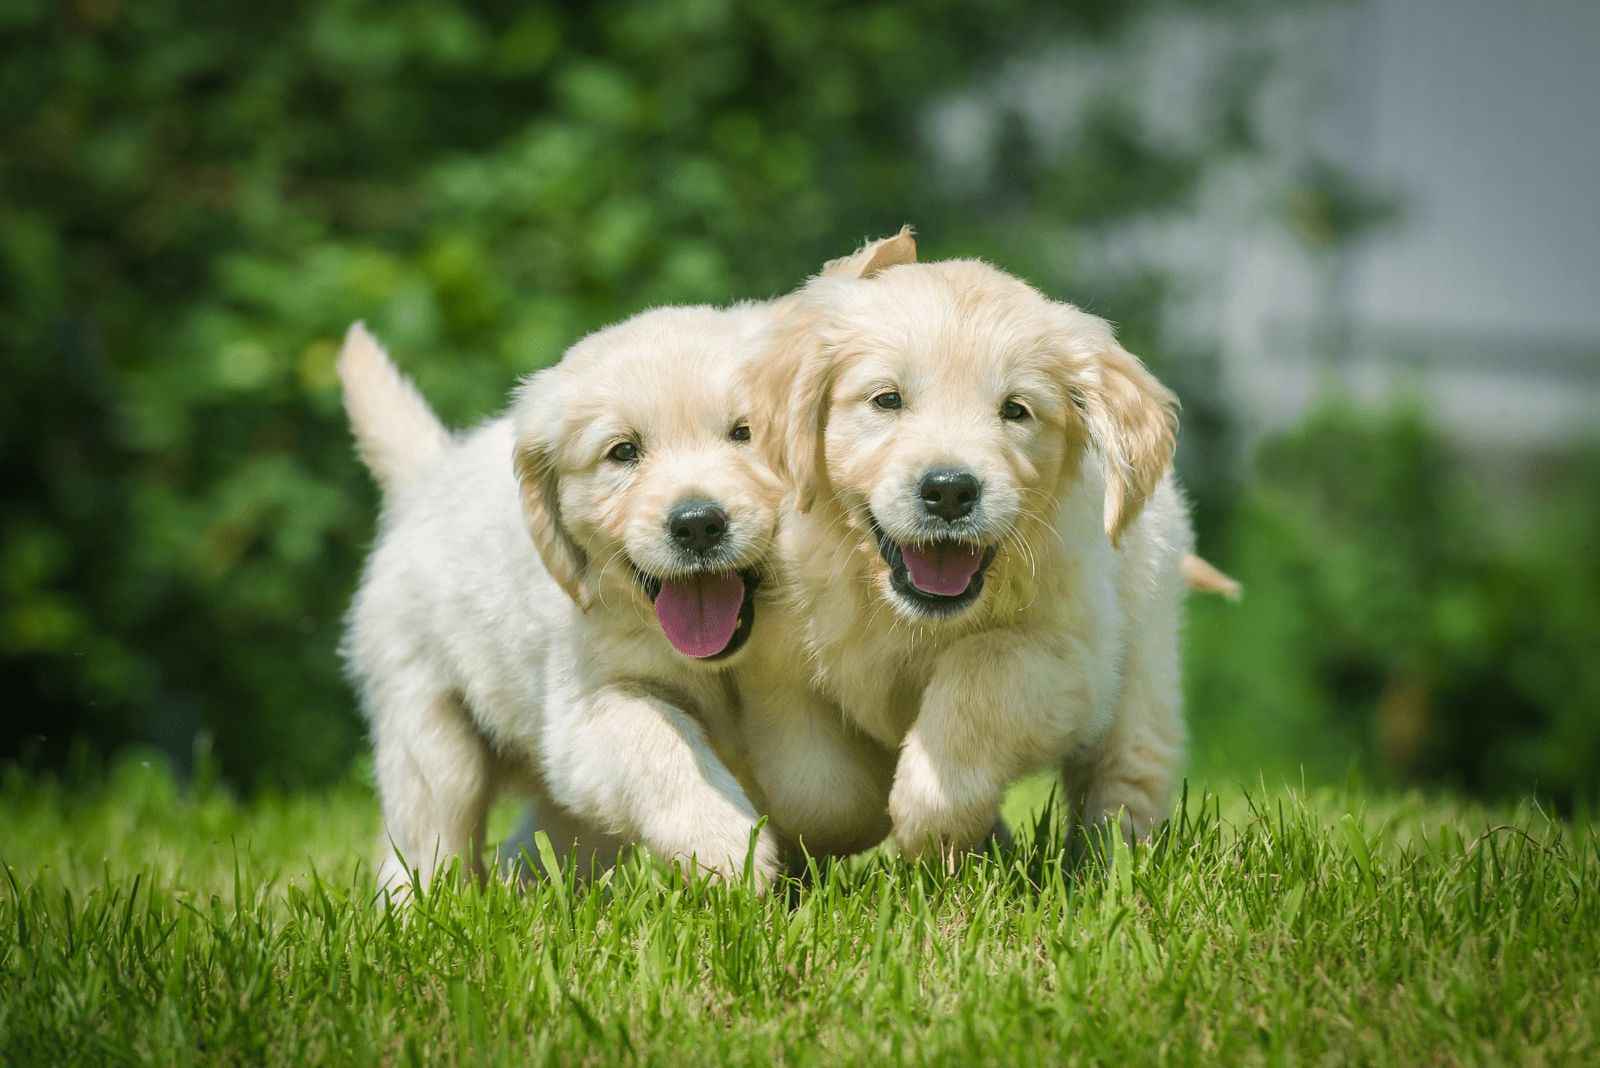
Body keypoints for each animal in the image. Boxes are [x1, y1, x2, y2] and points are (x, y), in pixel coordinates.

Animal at [337, 308, 787, 895]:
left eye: (745, 433)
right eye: (624, 452)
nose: (697, 525)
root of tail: (430, 479)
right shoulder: (584, 713)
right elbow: (654, 740)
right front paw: (726, 846)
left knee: (535, 848)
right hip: (428, 730)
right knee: (425, 841)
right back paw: (424, 906)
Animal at [748, 230, 1203, 863]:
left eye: (1015, 410)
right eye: (887, 400)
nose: (949, 490)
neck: (910, 616)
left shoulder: (1070, 655)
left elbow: (980, 677)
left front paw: (930, 822)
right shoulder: (780, 656)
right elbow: (818, 791)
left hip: (1143, 663)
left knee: (1126, 778)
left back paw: (1108, 865)